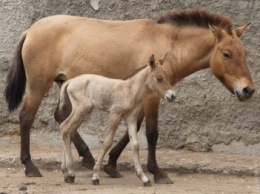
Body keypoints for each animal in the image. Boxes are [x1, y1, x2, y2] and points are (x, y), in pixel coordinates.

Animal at [5, 9, 255, 184]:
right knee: (26, 118)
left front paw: (111, 165)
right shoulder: (152, 98)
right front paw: (157, 172)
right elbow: (151, 133)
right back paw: (30, 166)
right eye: (226, 54)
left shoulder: (139, 100)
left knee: (62, 120)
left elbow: (131, 132)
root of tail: (30, 30)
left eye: (244, 52)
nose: (248, 90)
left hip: (64, 87)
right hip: (38, 86)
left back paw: (86, 158)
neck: (169, 46)